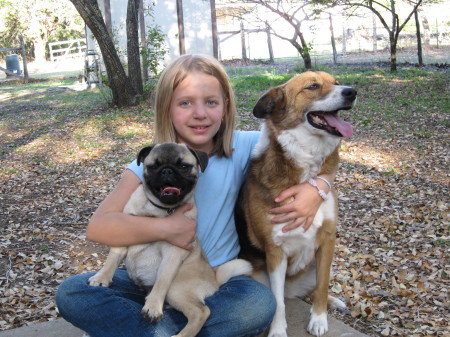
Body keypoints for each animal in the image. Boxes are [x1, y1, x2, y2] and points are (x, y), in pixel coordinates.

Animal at [237, 71, 356, 336]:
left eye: (336, 82)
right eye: (312, 86)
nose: (352, 91)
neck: (307, 169)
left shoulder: (327, 240)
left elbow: (322, 286)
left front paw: (319, 319)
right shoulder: (275, 250)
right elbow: (277, 301)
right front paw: (278, 330)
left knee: (315, 288)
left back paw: (334, 301)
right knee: (282, 295)